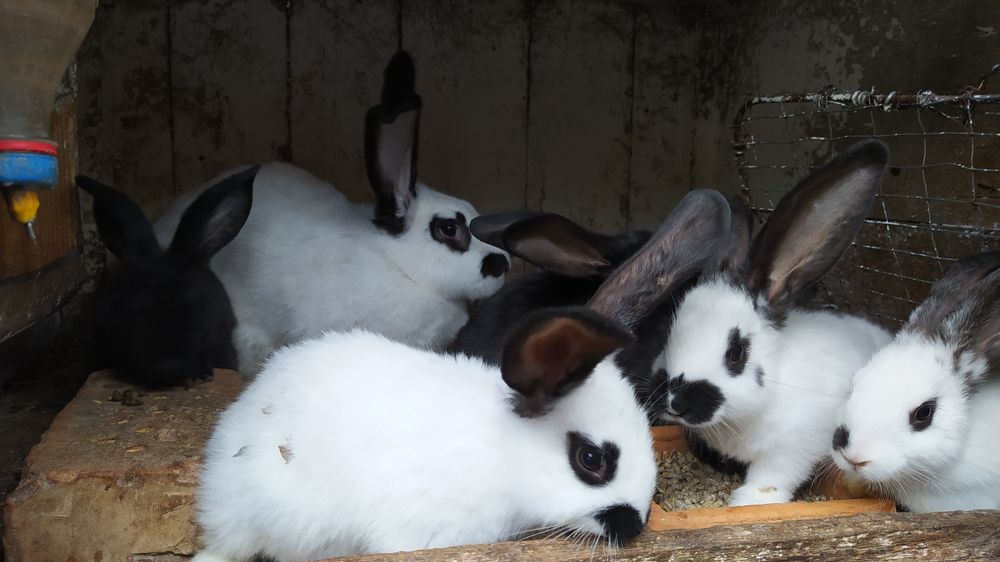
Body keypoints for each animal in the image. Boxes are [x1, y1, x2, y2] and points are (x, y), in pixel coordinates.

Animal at [655, 139, 896, 506]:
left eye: (736, 353)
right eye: (672, 333)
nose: (676, 403)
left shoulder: (792, 448)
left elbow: (773, 476)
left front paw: (750, 501)